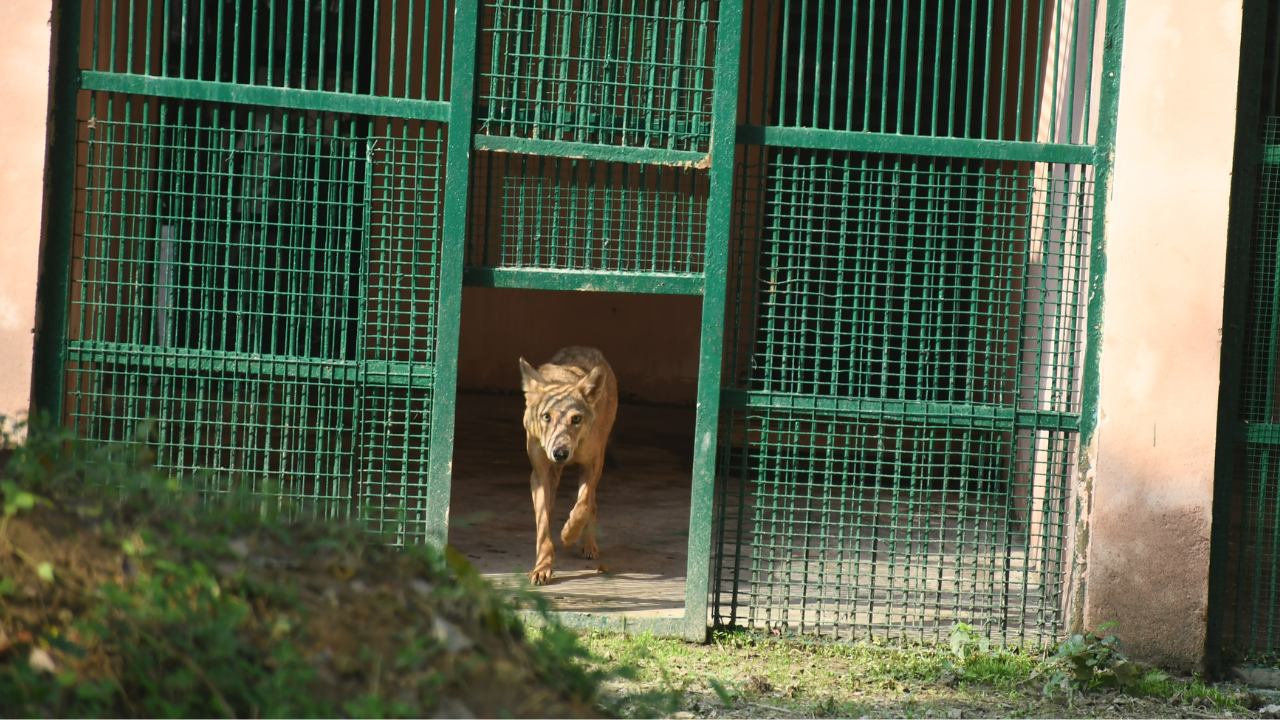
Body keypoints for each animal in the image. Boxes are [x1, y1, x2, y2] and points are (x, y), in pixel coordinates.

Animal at [519, 345, 619, 584]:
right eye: (546, 417)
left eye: (576, 419)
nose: (560, 453)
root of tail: (585, 347)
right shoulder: (540, 474)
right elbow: (543, 523)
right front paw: (542, 568)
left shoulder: (591, 465)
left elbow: (582, 508)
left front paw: (568, 535)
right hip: (554, 474)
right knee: (552, 506)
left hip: (598, 462)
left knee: (592, 505)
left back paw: (588, 545)